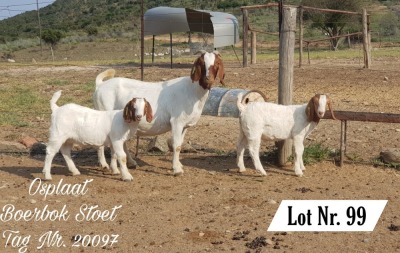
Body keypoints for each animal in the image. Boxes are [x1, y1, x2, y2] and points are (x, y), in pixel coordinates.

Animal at [93, 50, 225, 175]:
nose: (208, 79)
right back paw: (104, 164)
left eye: (216, 64)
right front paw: (176, 169)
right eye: (202, 63)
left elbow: (180, 144)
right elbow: (176, 145)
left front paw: (179, 165)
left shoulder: (185, 125)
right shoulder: (177, 122)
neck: (192, 91)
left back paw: (131, 163)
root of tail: (100, 85)